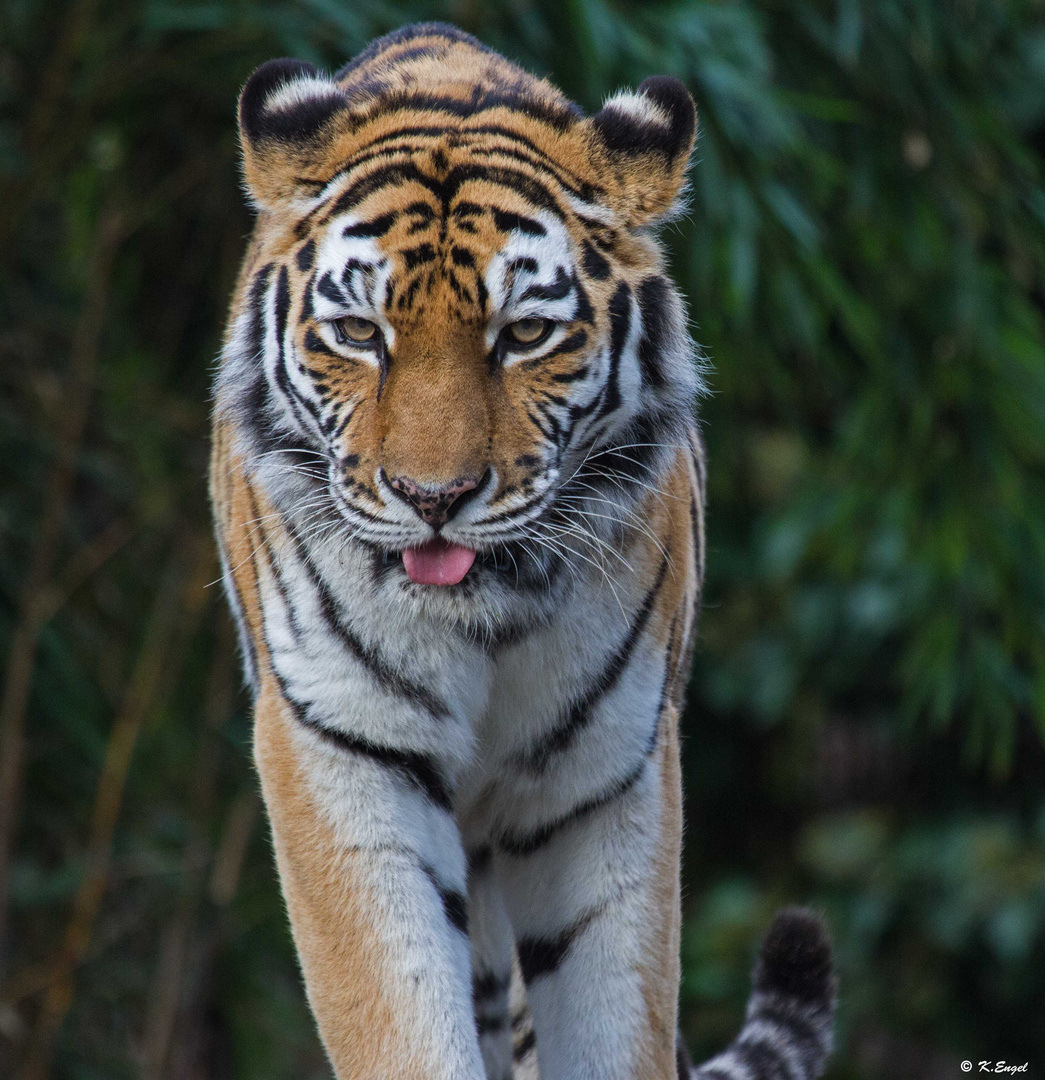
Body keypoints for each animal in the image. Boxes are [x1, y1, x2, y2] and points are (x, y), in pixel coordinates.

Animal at [208, 23, 837, 1080]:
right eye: (359, 332)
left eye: (526, 333)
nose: (433, 499)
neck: (484, 618)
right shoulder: (344, 750)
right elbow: (400, 1013)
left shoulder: (604, 774)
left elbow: (614, 1017)